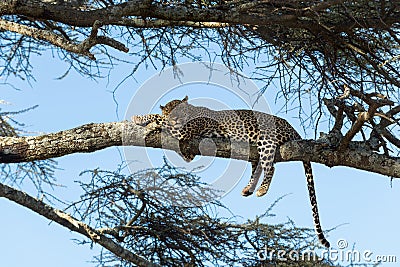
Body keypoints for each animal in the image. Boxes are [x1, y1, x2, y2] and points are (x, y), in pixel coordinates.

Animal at [133, 96, 330, 249]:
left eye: (180, 111)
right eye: (171, 111)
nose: (175, 119)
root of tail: (291, 127)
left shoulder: (184, 131)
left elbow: (160, 119)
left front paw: (144, 120)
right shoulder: (187, 149)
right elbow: (163, 121)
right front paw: (146, 120)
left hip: (266, 140)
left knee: (270, 166)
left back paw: (262, 190)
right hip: (254, 150)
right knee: (258, 166)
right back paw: (248, 189)